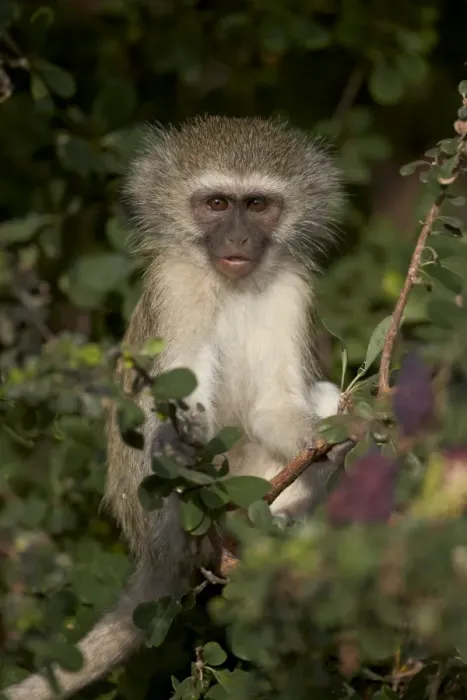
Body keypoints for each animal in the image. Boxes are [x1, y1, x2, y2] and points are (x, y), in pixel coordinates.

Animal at [3, 116, 345, 700]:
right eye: (216, 204)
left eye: (257, 205)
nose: (238, 238)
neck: (231, 283)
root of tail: (153, 556)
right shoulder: (176, 285)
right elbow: (174, 396)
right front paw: (182, 442)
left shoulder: (291, 286)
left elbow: (276, 406)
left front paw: (326, 439)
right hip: (153, 517)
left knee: (326, 395)